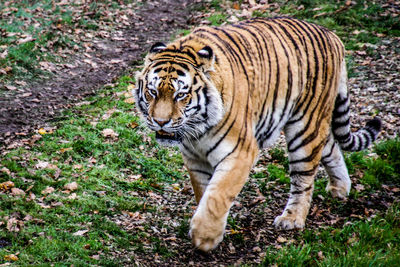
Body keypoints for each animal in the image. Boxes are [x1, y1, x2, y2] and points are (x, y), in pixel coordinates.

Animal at [132, 17, 382, 253]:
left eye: (181, 95)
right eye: (152, 92)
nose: (160, 121)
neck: (196, 130)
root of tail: (332, 35)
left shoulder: (240, 152)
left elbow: (217, 195)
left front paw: (204, 237)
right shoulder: (194, 158)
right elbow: (203, 192)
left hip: (304, 127)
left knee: (304, 177)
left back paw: (292, 219)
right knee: (330, 146)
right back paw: (340, 188)